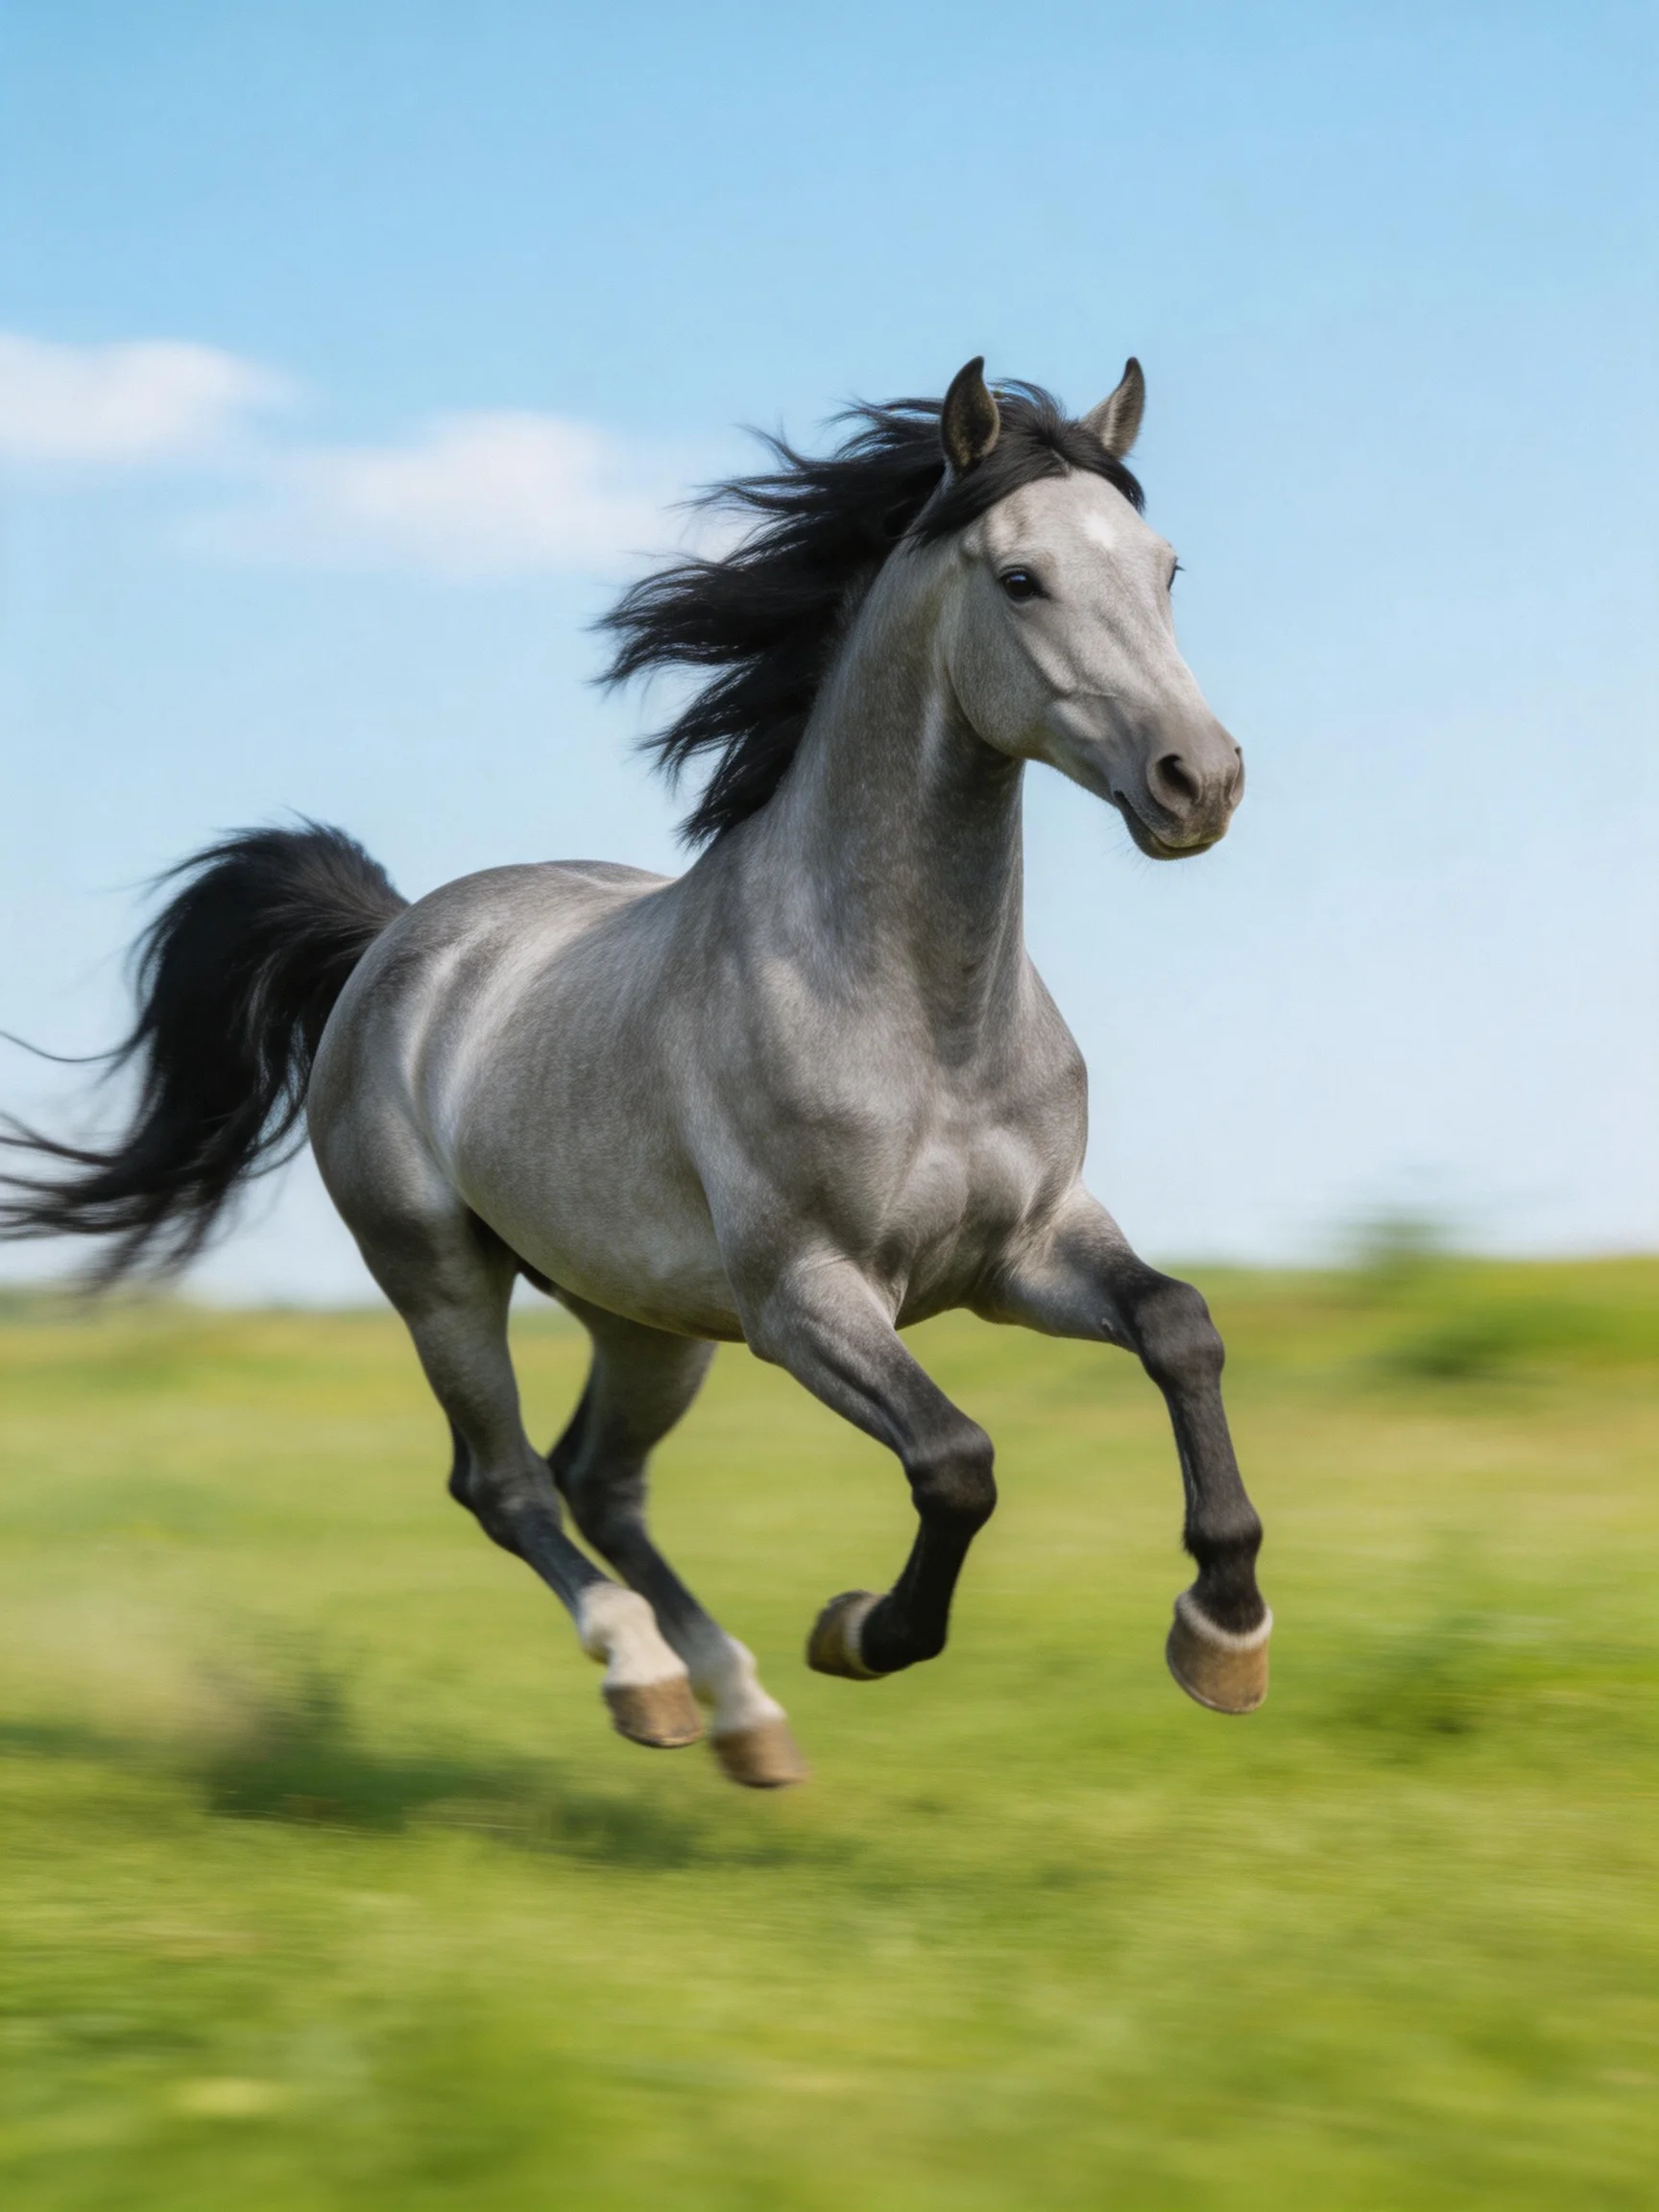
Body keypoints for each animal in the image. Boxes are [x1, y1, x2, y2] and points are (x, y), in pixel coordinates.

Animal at [2, 358, 1270, 1788]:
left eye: (1166, 569)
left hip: (645, 1320)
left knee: (599, 1478)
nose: (1199, 781)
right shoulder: (807, 1301)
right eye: (1020, 578)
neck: (920, 1019)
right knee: (505, 1484)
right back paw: (648, 1677)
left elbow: (1180, 1328)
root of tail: (392, 937)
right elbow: (957, 1460)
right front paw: (860, 1630)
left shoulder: (1028, 1249)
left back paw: (746, 1717)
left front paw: (1224, 1635)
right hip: (441, 1281)